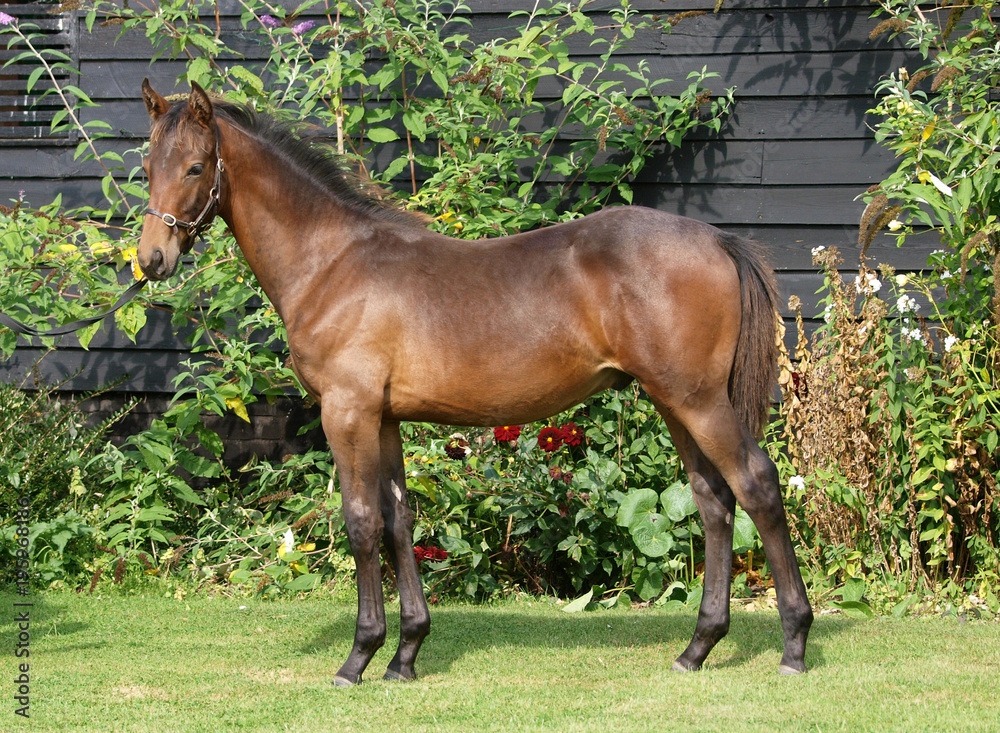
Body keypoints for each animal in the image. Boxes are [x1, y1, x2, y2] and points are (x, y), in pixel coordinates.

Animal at [137, 79, 813, 685]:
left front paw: (359, 658)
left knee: (756, 485)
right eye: (146, 166)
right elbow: (398, 519)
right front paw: (406, 655)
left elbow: (361, 522)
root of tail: (717, 240)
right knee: (713, 500)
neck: (332, 262)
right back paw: (697, 648)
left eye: (195, 167)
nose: (151, 260)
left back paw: (794, 644)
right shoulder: (384, 418)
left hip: (699, 401)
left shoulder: (348, 412)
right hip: (676, 401)